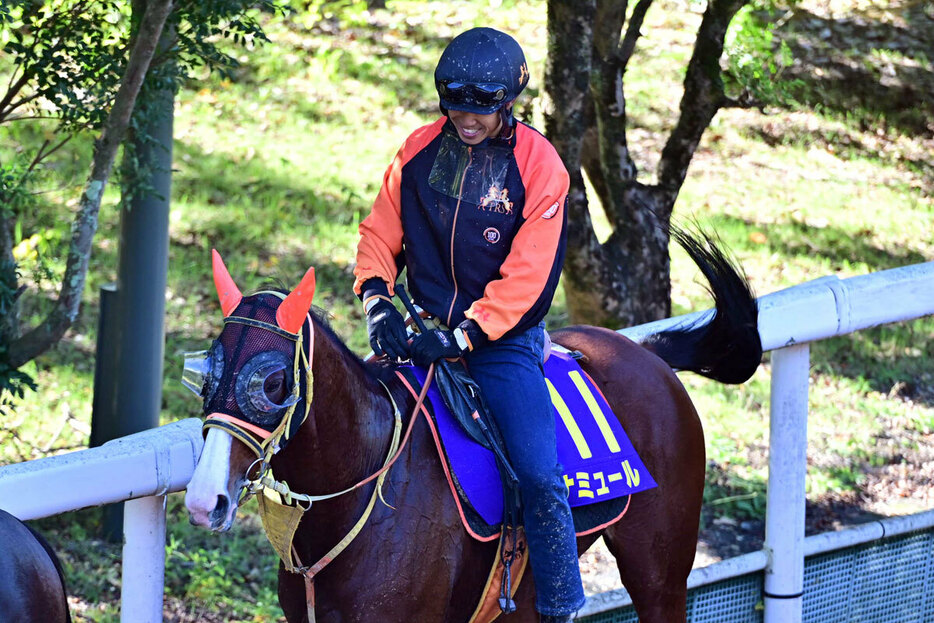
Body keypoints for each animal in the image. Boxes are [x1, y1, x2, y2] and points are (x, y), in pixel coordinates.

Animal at [185, 230, 768, 623]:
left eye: (273, 382)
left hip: (660, 569)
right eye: (204, 370)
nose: (204, 500)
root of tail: (649, 352)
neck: (364, 489)